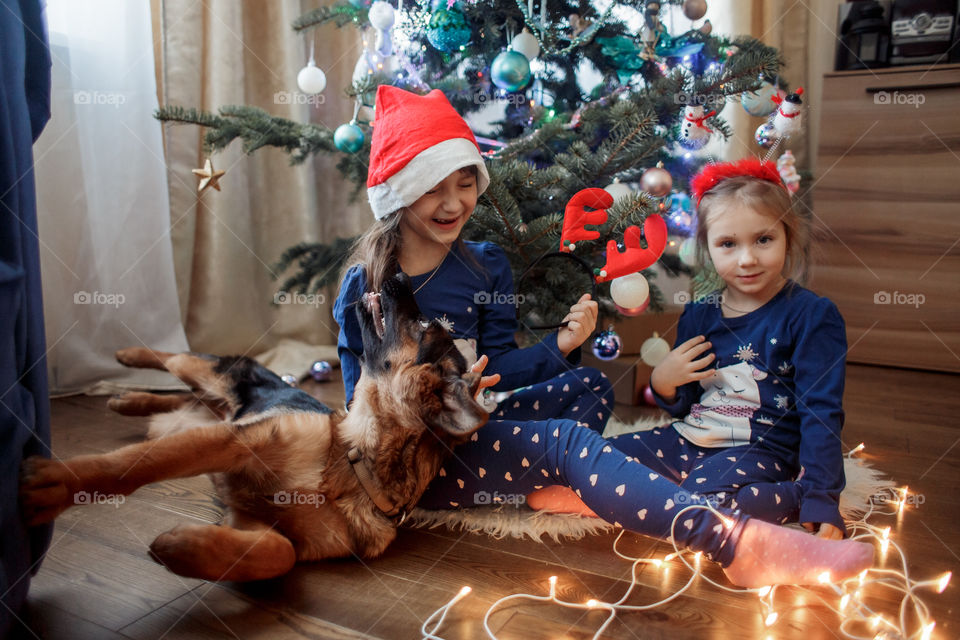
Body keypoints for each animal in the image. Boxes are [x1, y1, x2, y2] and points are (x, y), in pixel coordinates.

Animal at [16, 272, 488, 584]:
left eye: (422, 325)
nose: (399, 273)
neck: (353, 467)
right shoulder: (232, 442)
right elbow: (129, 468)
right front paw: (57, 485)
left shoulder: (252, 520)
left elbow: (278, 554)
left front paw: (184, 549)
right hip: (212, 386)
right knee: (178, 358)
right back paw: (126, 355)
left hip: (196, 415)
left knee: (181, 400)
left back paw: (127, 398)